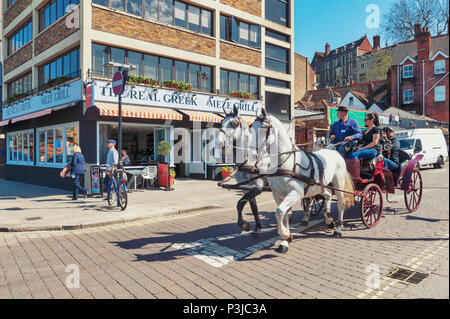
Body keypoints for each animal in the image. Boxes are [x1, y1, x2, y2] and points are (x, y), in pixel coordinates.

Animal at [253, 111, 356, 254]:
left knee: (341, 203)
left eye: (263, 128)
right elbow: (284, 214)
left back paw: (338, 229)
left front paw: (285, 234)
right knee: (328, 195)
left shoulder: (295, 193)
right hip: (321, 186)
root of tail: (334, 151)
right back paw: (329, 219)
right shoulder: (277, 194)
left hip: (338, 184)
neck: (285, 161)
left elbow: (279, 212)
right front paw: (286, 240)